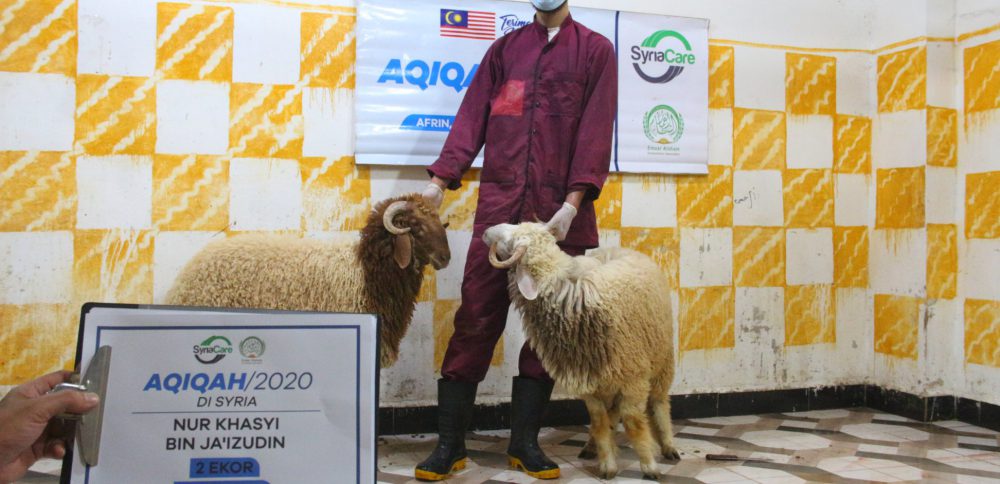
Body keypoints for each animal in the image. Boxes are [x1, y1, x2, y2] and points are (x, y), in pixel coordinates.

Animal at [483, 222, 677, 479]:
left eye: (512, 242)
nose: (485, 231)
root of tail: (620, 249)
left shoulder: (633, 380)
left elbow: (634, 424)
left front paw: (649, 466)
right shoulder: (590, 382)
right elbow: (599, 422)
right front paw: (608, 465)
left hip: (662, 360)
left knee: (659, 402)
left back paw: (668, 445)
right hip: (610, 378)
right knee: (611, 414)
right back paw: (591, 446)